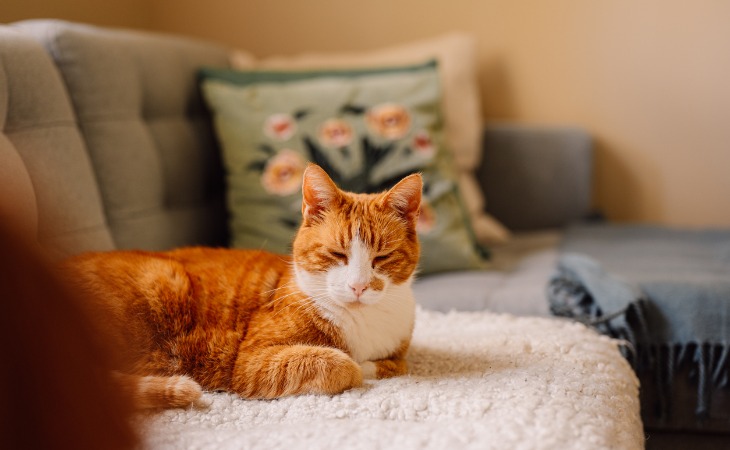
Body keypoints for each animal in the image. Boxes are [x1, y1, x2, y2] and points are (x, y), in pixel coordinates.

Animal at [62, 163, 420, 410]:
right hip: (159, 279)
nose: (358, 287)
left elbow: (396, 363)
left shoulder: (399, 347)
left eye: (382, 257)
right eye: (337, 254)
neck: (362, 322)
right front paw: (357, 365)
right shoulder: (251, 361)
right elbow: (344, 365)